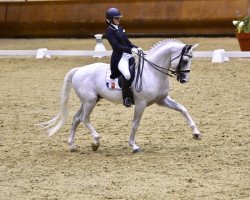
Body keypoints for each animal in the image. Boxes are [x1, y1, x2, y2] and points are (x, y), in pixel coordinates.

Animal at [40, 39, 202, 153]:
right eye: (185, 60)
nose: (184, 80)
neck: (152, 72)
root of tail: (79, 70)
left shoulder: (162, 100)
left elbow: (182, 109)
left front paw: (196, 133)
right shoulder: (141, 103)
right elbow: (135, 124)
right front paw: (134, 146)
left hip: (89, 101)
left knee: (76, 118)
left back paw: (72, 145)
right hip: (90, 101)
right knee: (84, 119)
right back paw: (95, 142)